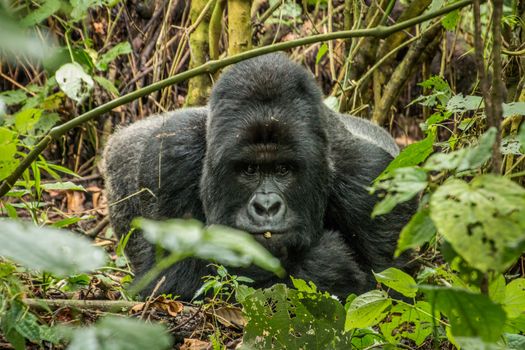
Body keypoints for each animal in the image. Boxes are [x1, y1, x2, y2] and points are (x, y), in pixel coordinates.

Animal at [103, 52, 414, 300]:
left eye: (283, 170)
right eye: (249, 170)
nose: (266, 207)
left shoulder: (372, 177)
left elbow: (393, 289)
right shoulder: (169, 156)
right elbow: (166, 277)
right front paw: (325, 262)